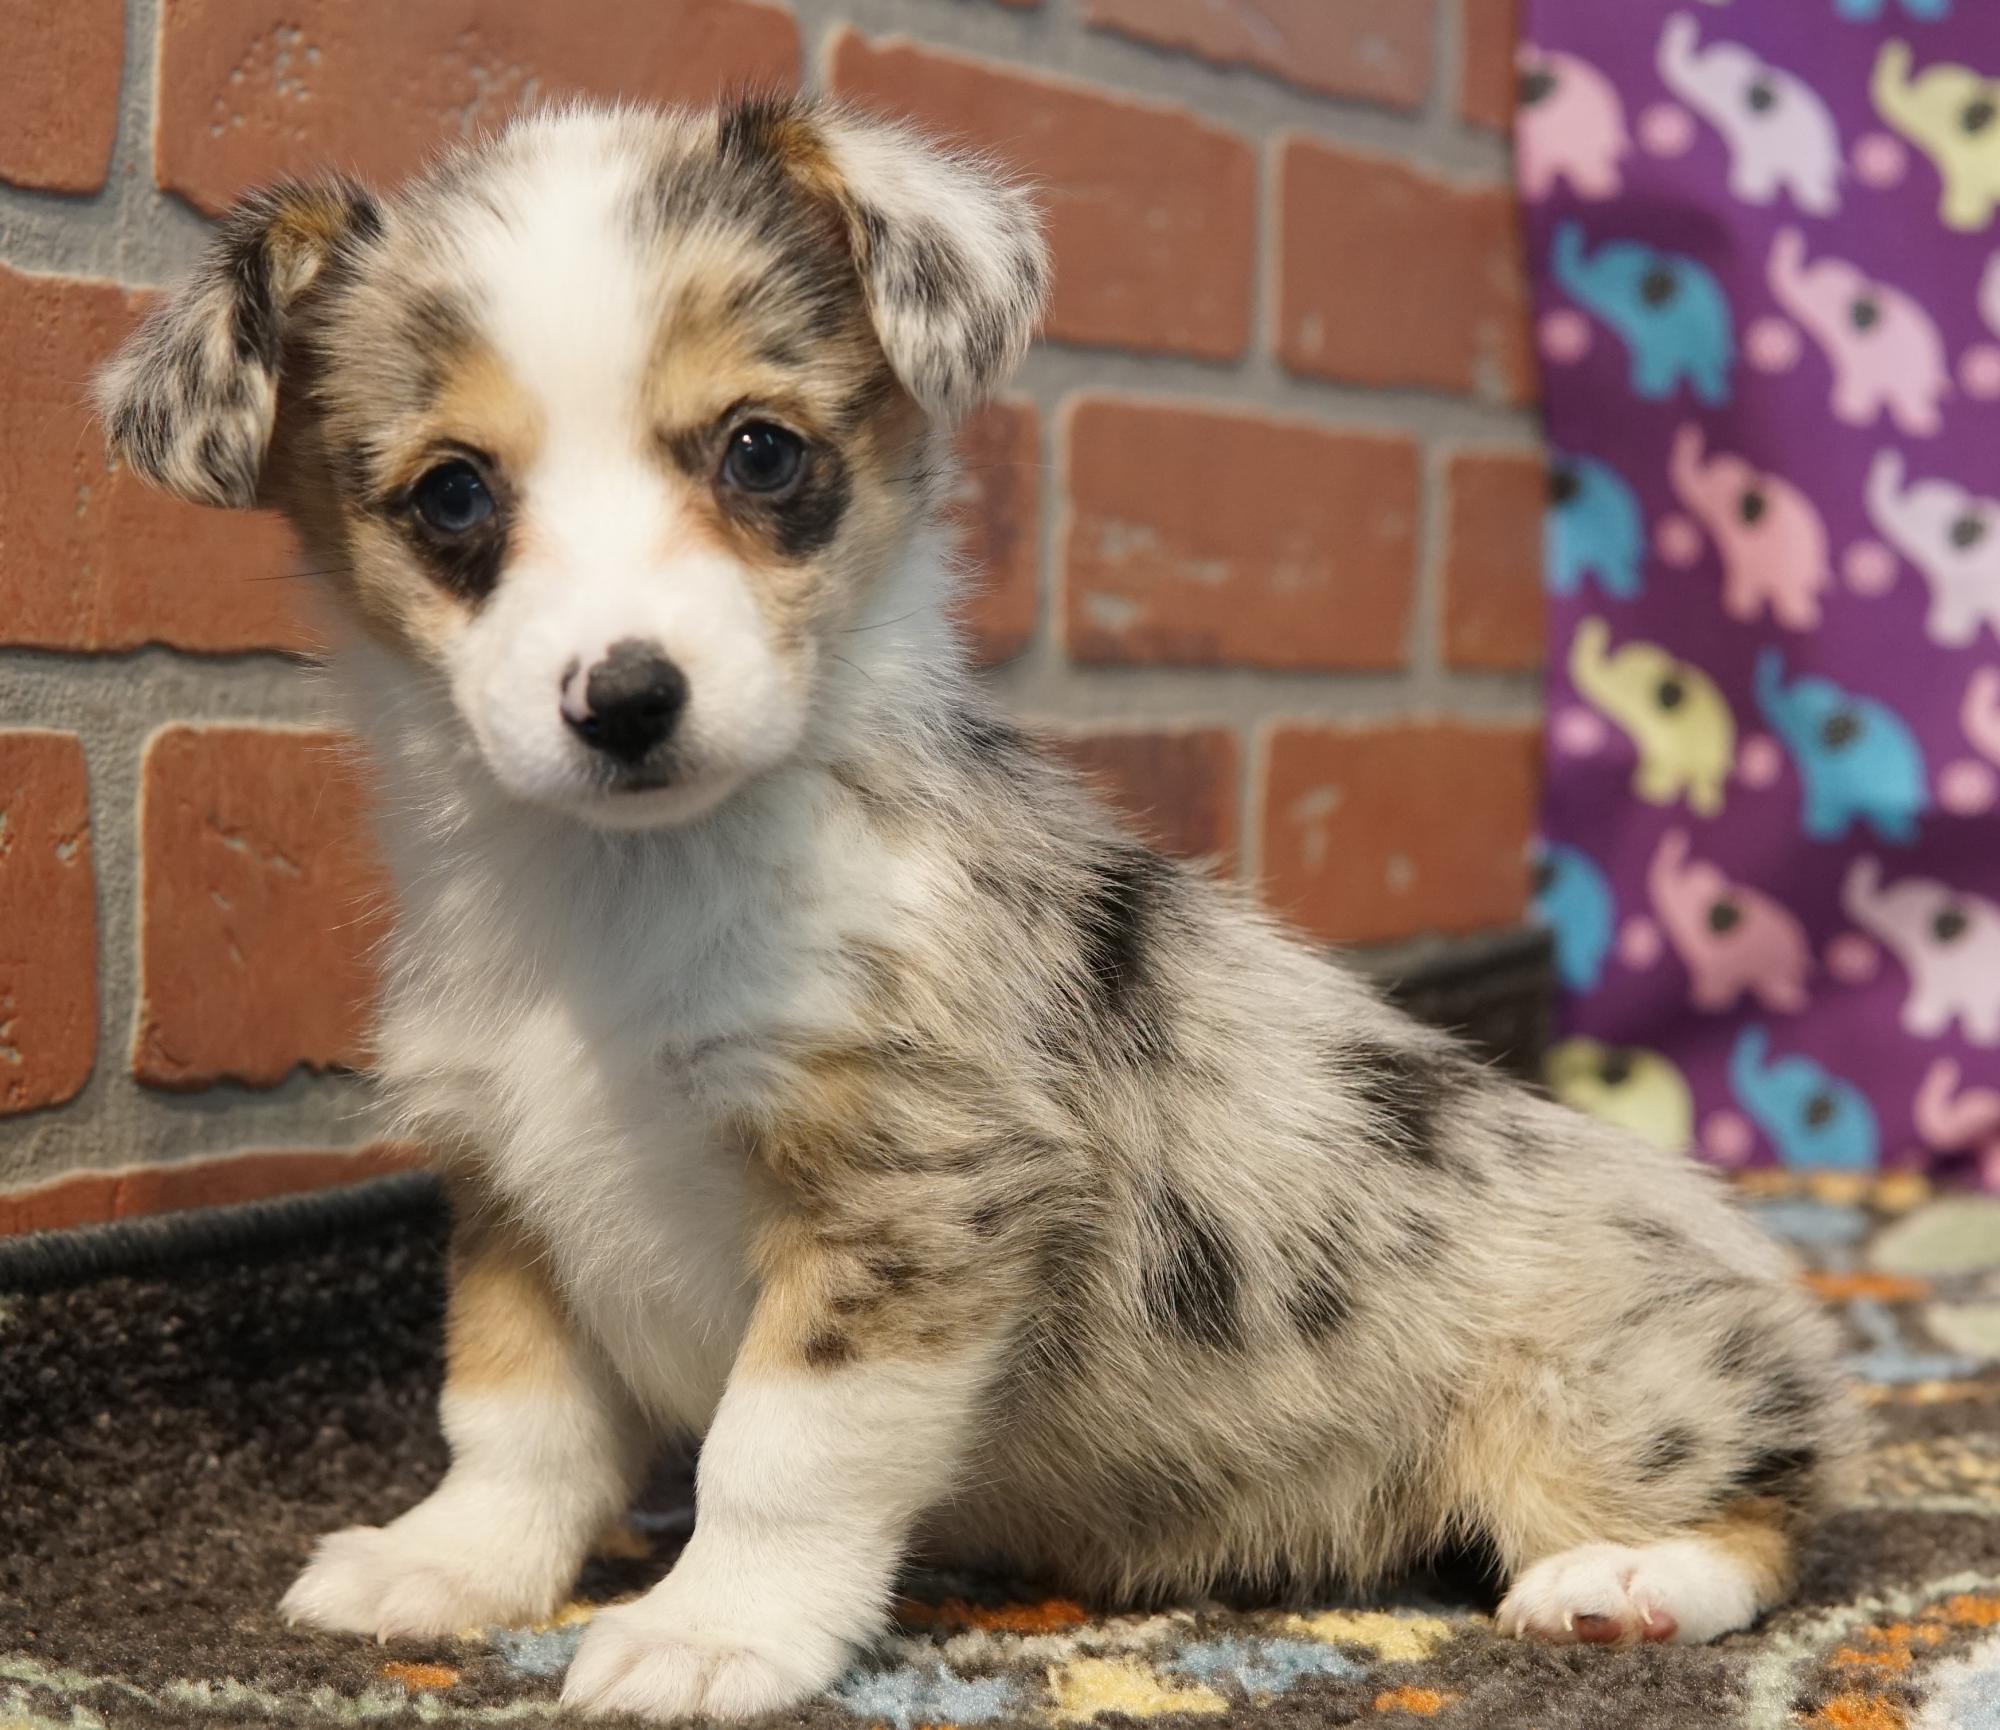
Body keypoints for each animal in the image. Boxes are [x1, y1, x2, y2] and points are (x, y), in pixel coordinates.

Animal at [90, 101, 1840, 1720]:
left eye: (762, 451)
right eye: (453, 497)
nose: (629, 700)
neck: (627, 887)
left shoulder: (911, 1199)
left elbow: (772, 1453)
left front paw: (704, 1633)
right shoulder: (512, 1188)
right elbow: (514, 1419)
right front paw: (450, 1566)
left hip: (1597, 1383)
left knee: (1769, 1508)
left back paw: (1624, 1581)